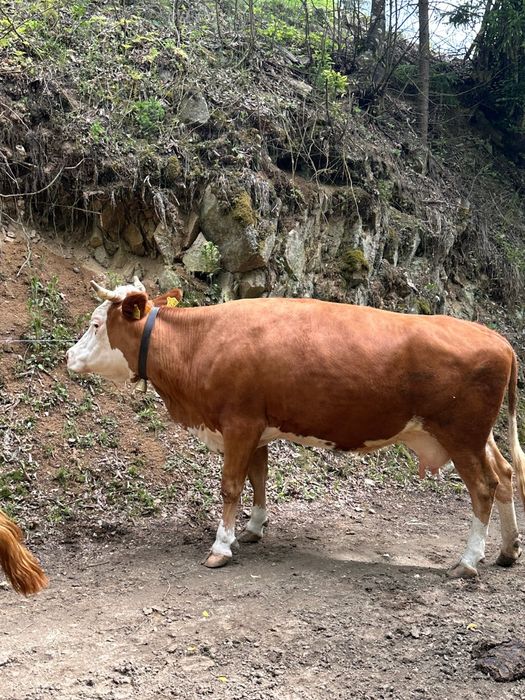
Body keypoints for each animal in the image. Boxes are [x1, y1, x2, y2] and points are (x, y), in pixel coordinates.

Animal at [66, 277, 525, 578]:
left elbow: (231, 486)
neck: (201, 342)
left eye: (95, 324)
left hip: (461, 435)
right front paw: (252, 529)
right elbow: (259, 478)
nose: (68, 356)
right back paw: (506, 551)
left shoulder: (238, 424)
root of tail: (497, 339)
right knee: (505, 476)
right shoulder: (257, 428)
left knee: (484, 487)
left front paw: (220, 547)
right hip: (477, 437)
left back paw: (468, 561)